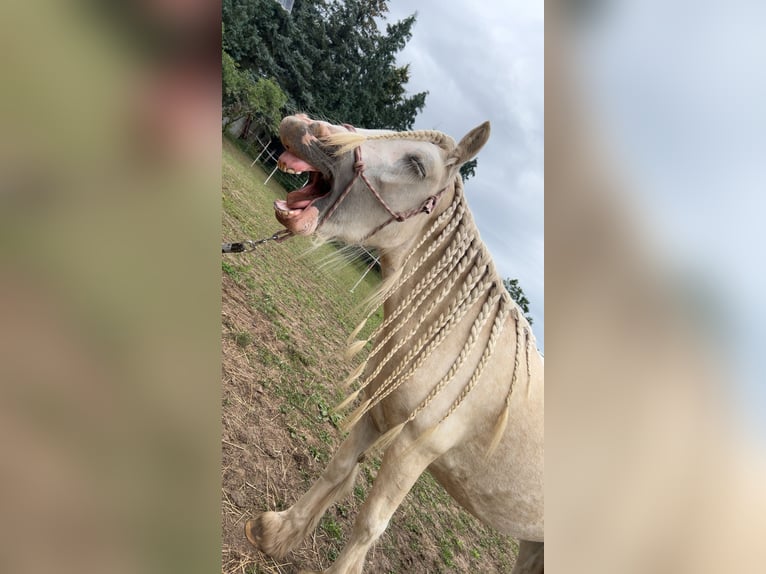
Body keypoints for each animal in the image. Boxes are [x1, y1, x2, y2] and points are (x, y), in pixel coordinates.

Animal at [246, 115, 544, 572]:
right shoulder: (374, 412)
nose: (303, 126)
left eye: (417, 165)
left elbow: (370, 525)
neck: (448, 336)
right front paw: (275, 534)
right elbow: (337, 470)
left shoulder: (412, 449)